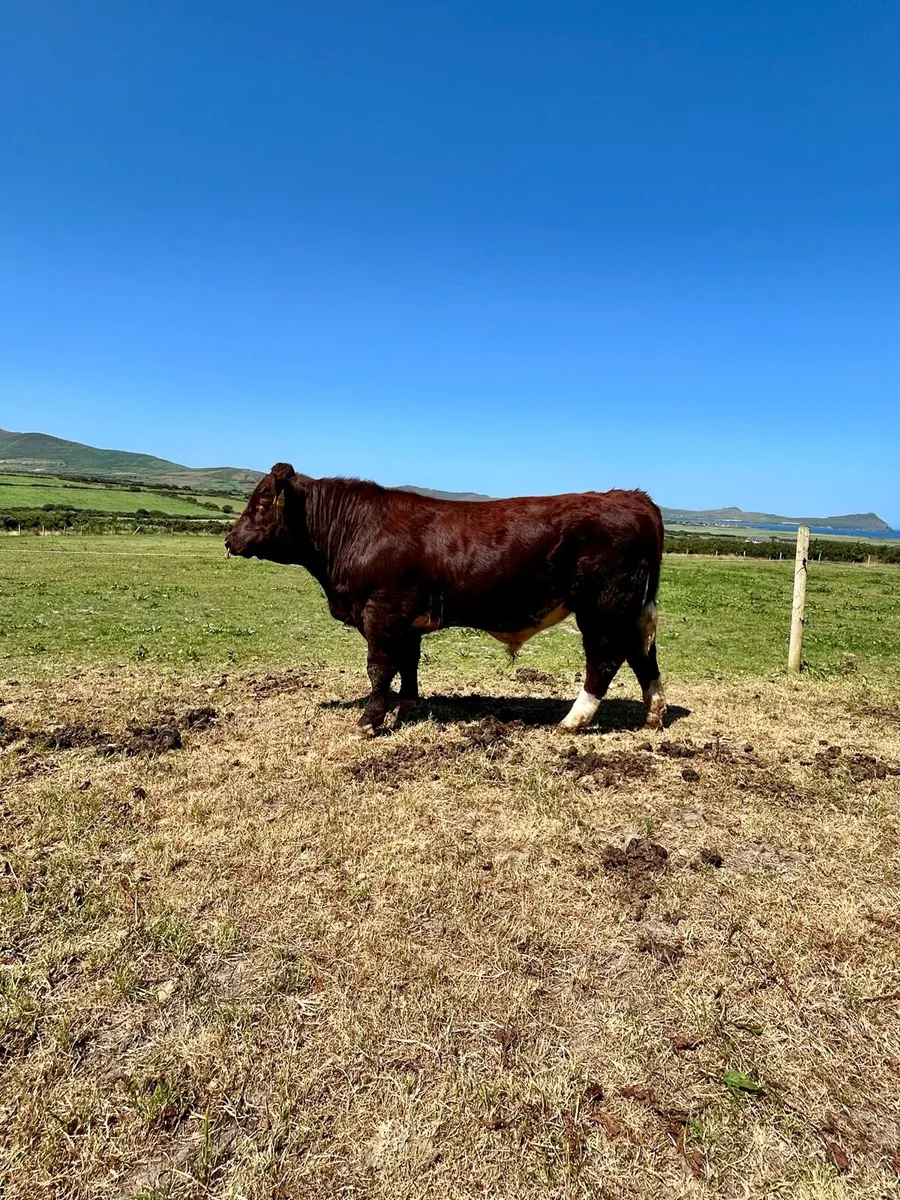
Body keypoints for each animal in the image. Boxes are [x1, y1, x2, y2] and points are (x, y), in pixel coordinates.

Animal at [225, 465, 666, 737]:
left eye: (261, 504)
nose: (230, 539)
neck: (354, 529)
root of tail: (631, 497)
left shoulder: (380, 612)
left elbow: (379, 668)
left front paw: (370, 721)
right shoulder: (405, 621)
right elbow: (407, 665)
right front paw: (405, 710)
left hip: (603, 608)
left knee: (605, 659)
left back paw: (574, 720)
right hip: (631, 609)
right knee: (643, 656)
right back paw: (653, 714)